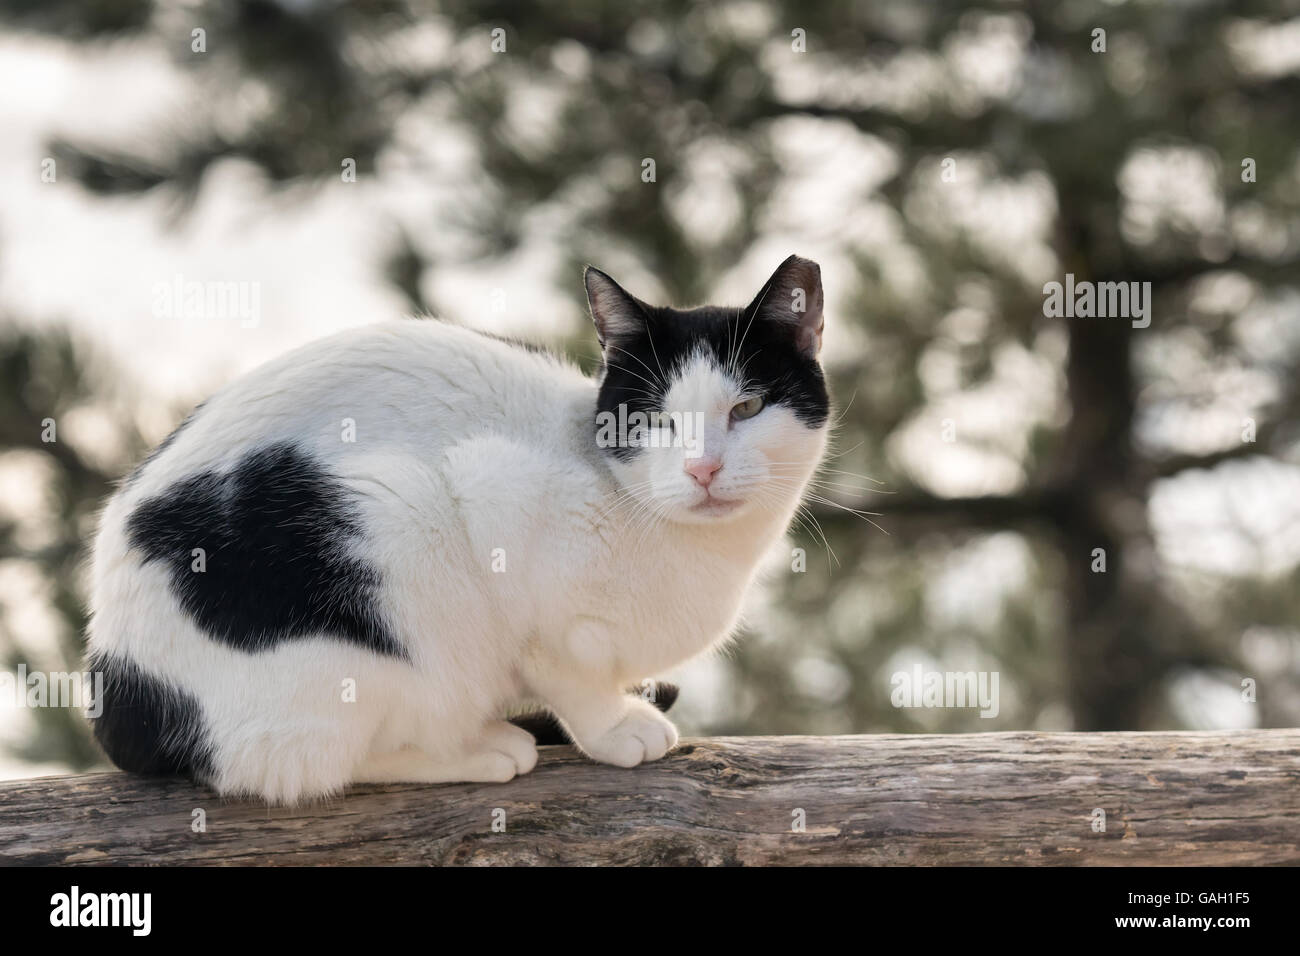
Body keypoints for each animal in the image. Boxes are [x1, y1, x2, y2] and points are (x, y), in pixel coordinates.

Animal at [83, 256, 832, 806]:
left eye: (747, 408)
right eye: (656, 419)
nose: (703, 468)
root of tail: (116, 682)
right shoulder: (493, 496)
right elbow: (568, 672)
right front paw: (616, 726)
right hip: (398, 522)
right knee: (296, 765)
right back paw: (478, 747)